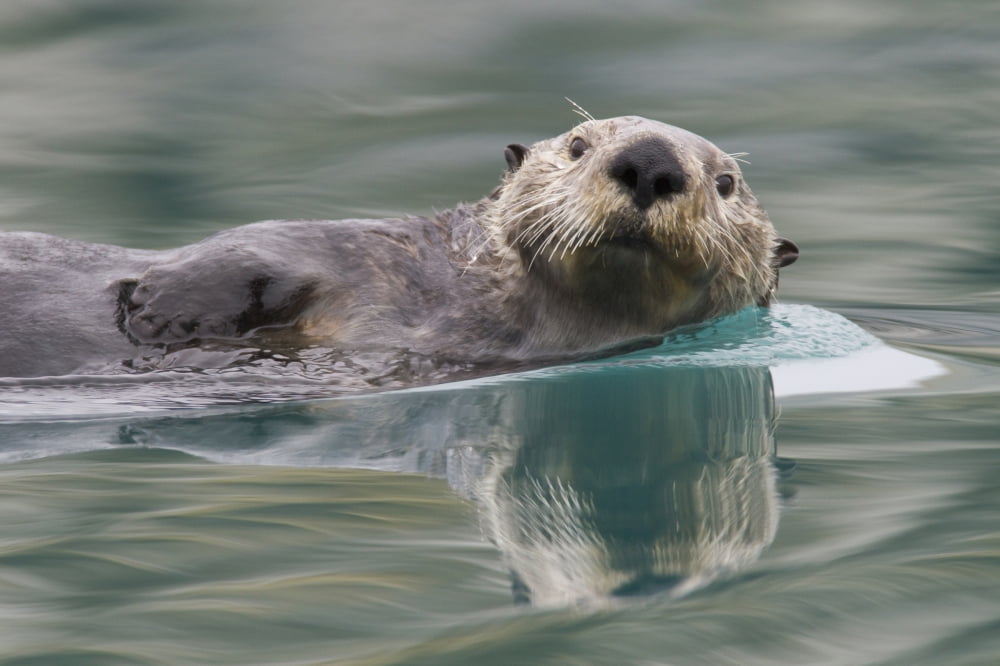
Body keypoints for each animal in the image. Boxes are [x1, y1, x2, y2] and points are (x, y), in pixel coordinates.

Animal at [0, 116, 797, 378]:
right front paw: (163, 314)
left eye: (726, 183)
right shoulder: (355, 248)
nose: (650, 161)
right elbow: (233, 254)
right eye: (578, 144)